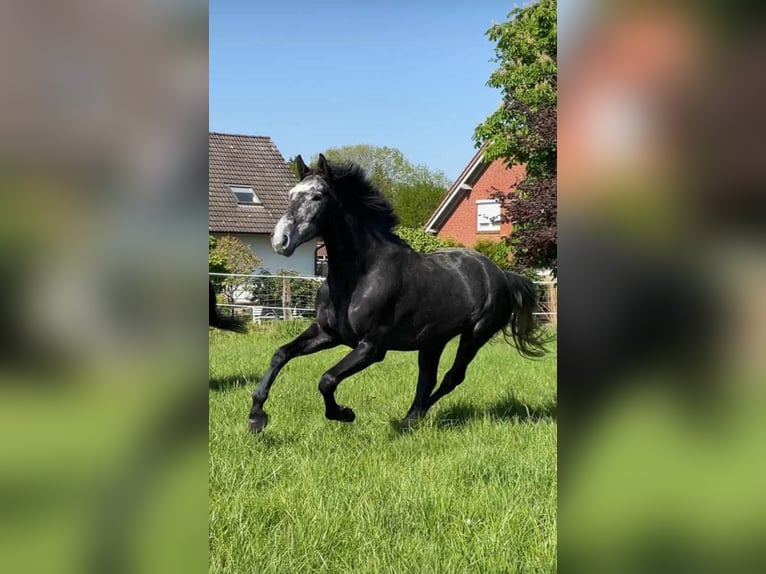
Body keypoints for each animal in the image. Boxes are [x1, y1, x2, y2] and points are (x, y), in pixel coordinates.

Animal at [248, 154, 547, 432]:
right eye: (291, 194)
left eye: (317, 195)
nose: (280, 240)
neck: (358, 278)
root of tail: (502, 275)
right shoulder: (327, 334)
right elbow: (280, 354)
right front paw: (256, 417)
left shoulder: (372, 347)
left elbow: (327, 379)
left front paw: (344, 413)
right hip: (433, 341)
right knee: (428, 378)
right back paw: (411, 419)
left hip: (475, 335)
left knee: (452, 377)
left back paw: (412, 419)